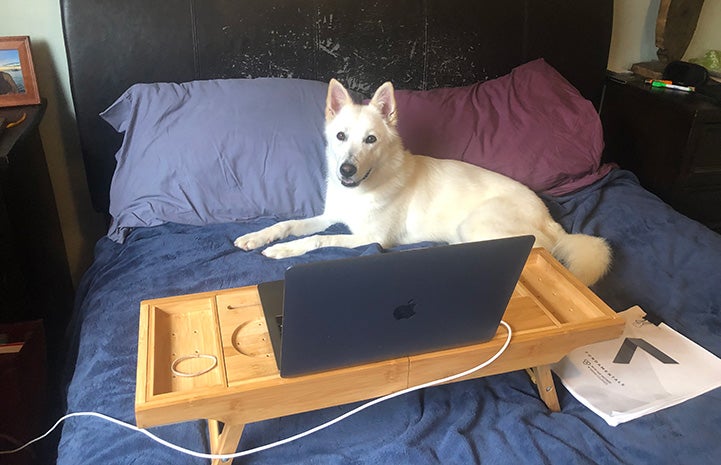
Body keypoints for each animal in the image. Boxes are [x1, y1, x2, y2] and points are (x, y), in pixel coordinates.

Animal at [233, 78, 612, 284]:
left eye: (370, 140)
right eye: (341, 136)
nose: (346, 171)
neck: (367, 187)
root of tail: (550, 220)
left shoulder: (370, 238)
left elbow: (320, 241)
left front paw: (283, 251)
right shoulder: (331, 217)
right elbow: (291, 225)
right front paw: (260, 238)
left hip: (477, 225)